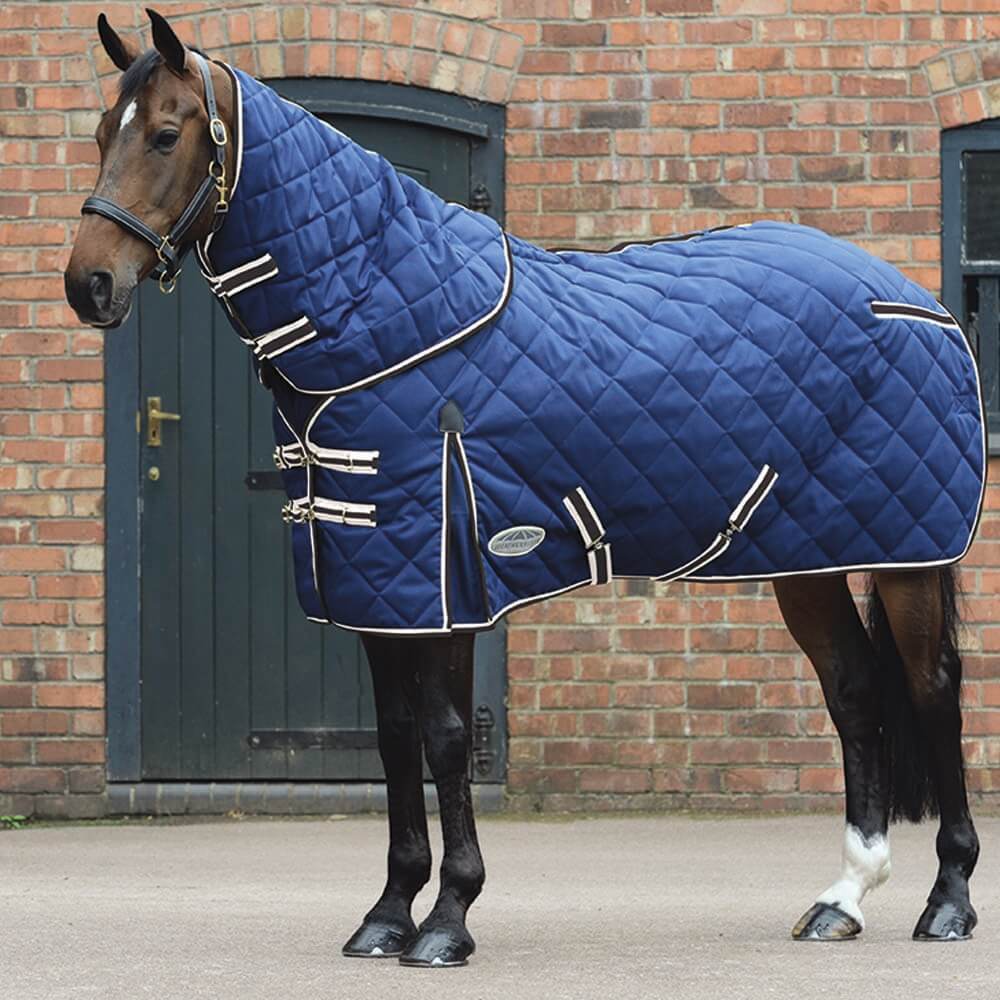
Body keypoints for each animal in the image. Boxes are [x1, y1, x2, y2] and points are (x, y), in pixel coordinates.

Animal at [65, 10, 985, 966]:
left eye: (165, 134)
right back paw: (843, 897)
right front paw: (387, 914)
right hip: (808, 557)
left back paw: (947, 900)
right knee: (855, 690)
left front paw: (448, 919)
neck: (395, 326)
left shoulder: (448, 580)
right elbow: (394, 740)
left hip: (908, 554)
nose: (88, 284)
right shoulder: (374, 584)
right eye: (99, 134)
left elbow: (443, 738)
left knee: (932, 688)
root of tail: (914, 299)